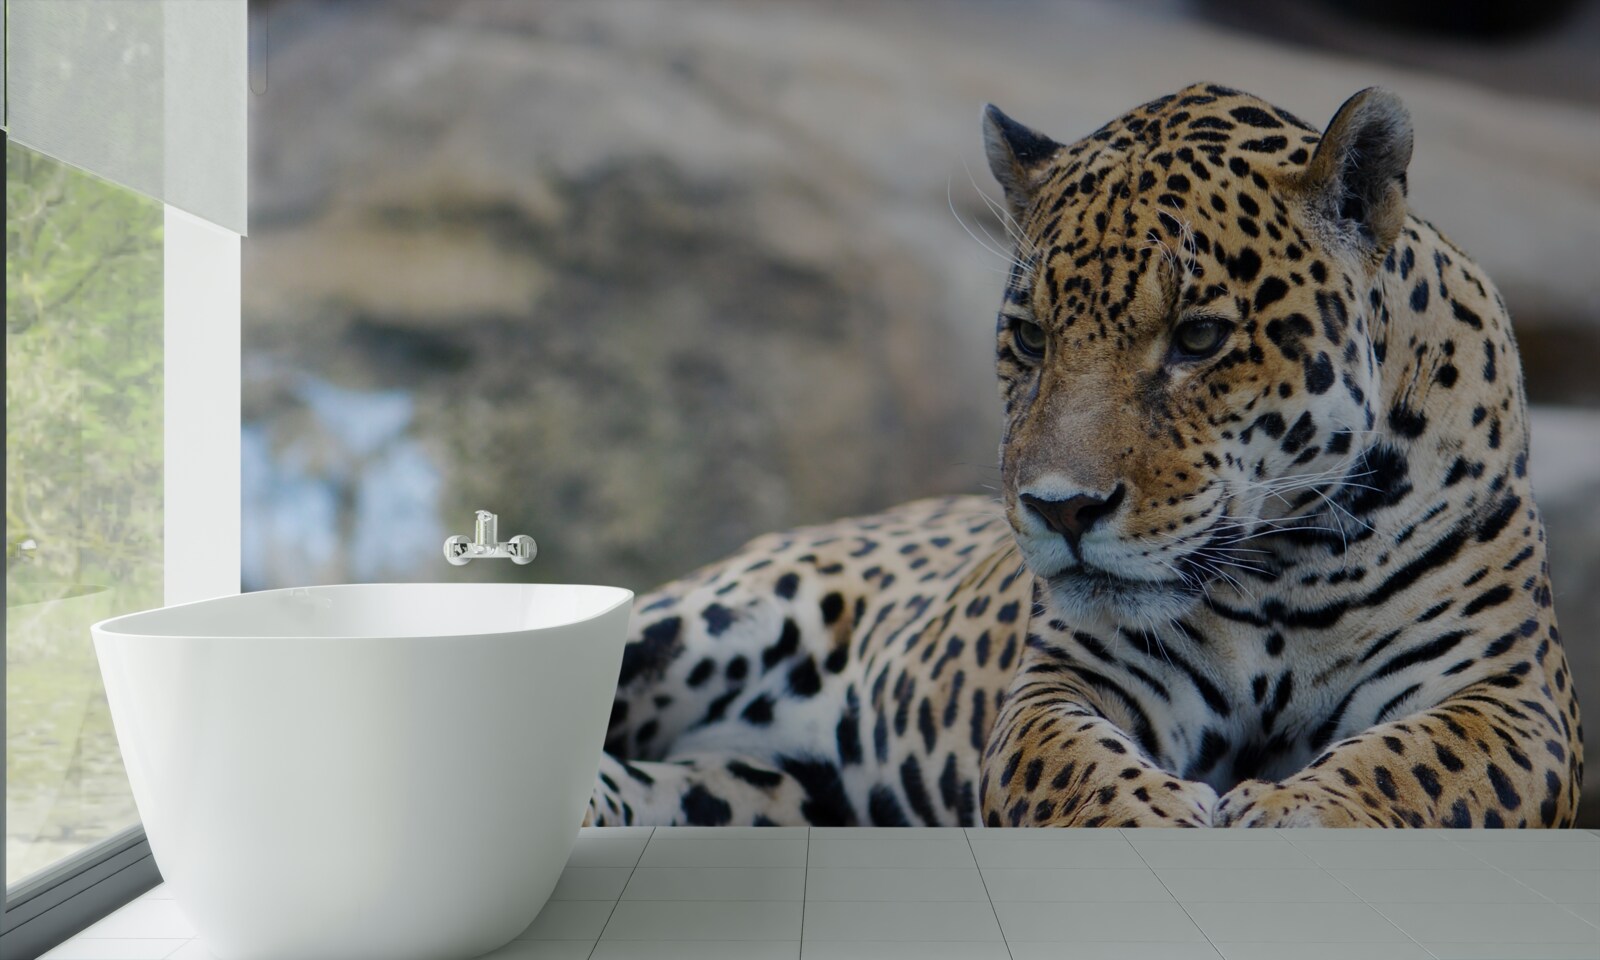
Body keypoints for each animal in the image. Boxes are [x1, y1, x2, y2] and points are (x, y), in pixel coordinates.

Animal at [585, 83, 1582, 829]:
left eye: (1199, 337)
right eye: (1030, 339)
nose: (1060, 510)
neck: (1280, 567)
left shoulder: (1512, 697)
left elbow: (1412, 767)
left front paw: (1286, 817)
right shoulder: (1067, 681)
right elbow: (1075, 773)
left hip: (772, 793)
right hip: (711, 621)